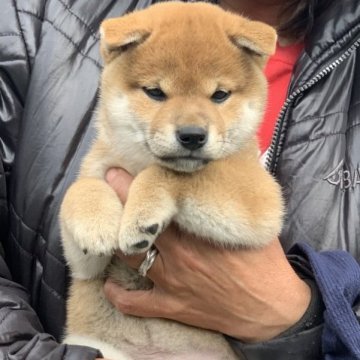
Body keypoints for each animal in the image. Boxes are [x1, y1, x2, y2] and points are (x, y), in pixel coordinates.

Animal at [60, 1, 282, 358]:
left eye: (219, 95)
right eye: (155, 92)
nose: (192, 135)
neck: (137, 163)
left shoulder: (260, 200)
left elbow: (170, 173)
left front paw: (141, 217)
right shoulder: (86, 268)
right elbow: (82, 186)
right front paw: (96, 225)